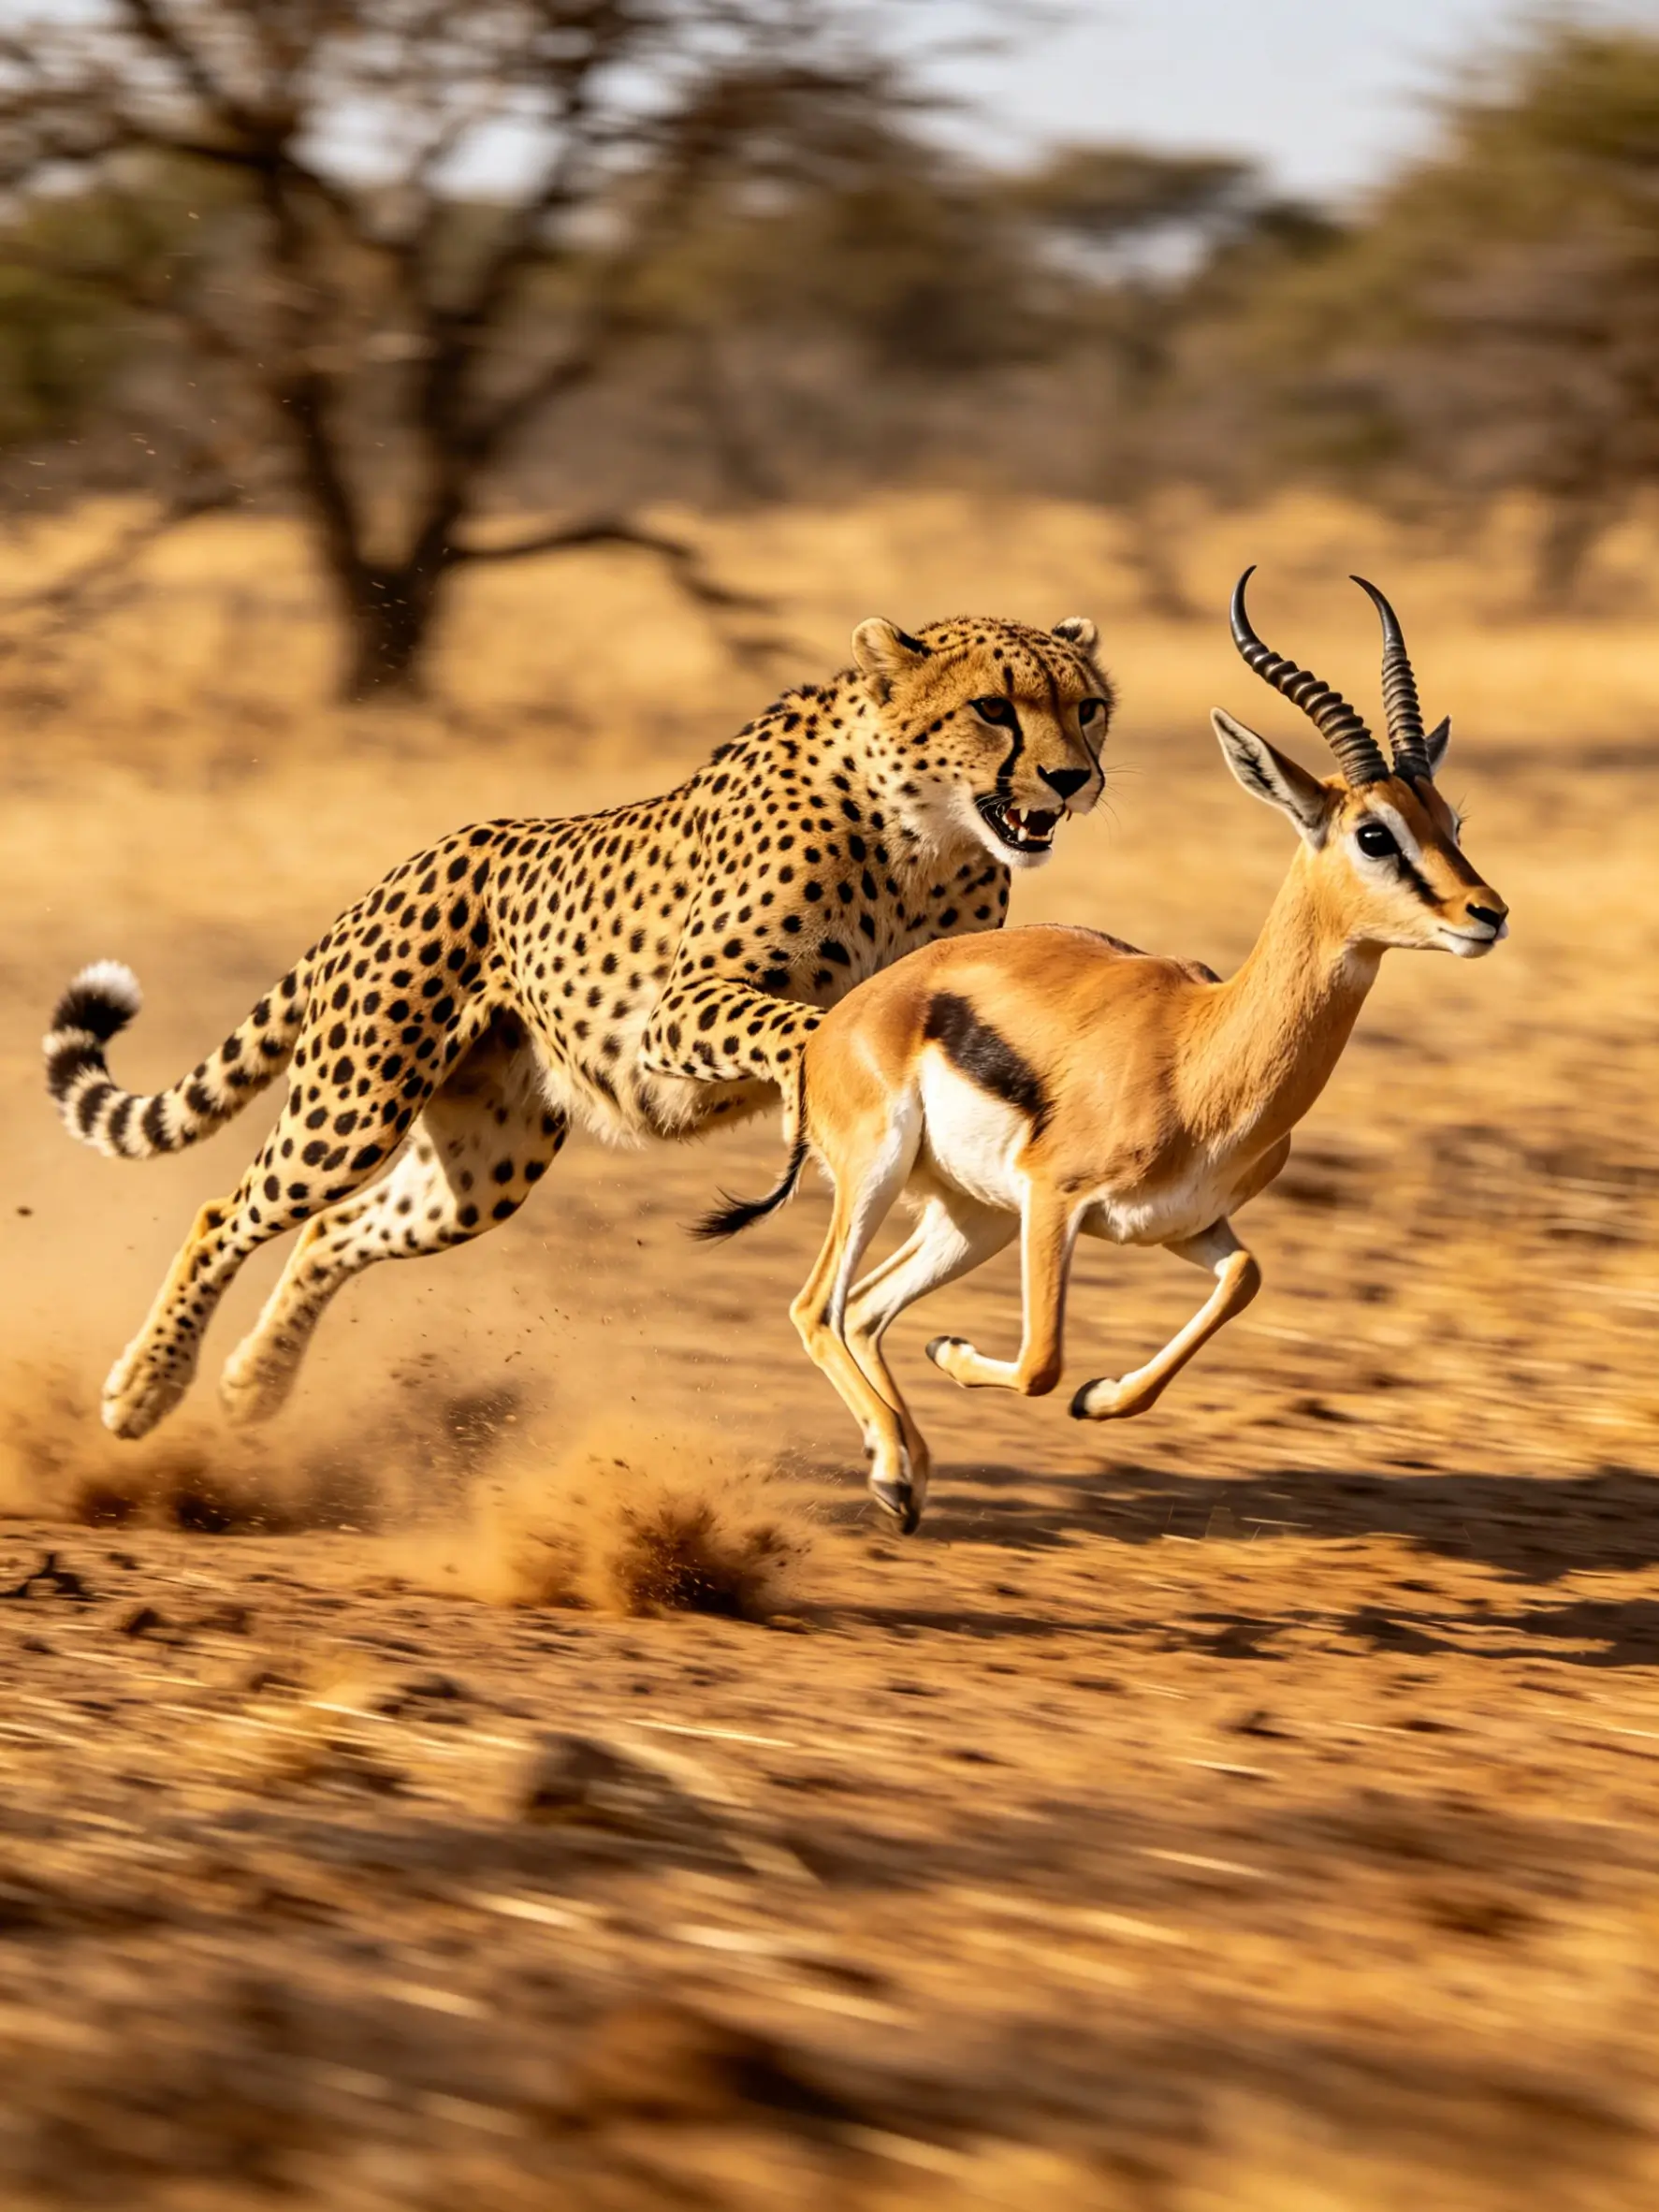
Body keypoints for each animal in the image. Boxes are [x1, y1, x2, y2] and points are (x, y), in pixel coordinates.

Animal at [44, 611, 1112, 1445]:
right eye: (993, 708)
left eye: (1088, 707)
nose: (1073, 779)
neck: (923, 839)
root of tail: (415, 860)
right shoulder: (681, 1008)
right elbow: (800, 1020)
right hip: (354, 1108)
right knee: (226, 1214)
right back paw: (146, 1388)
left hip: (483, 1166)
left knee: (335, 1230)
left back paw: (255, 1384)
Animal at [698, 572, 1509, 1532]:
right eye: (1374, 834)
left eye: (1450, 819)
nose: (1485, 914)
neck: (1199, 1052)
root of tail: (838, 1021)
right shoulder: (1055, 1199)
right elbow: (1042, 1360)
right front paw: (967, 1355)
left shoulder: (1179, 1224)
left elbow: (1243, 1277)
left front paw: (1100, 1396)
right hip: (884, 1174)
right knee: (816, 1306)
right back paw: (899, 1465)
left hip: (973, 1215)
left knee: (861, 1310)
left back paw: (902, 1471)